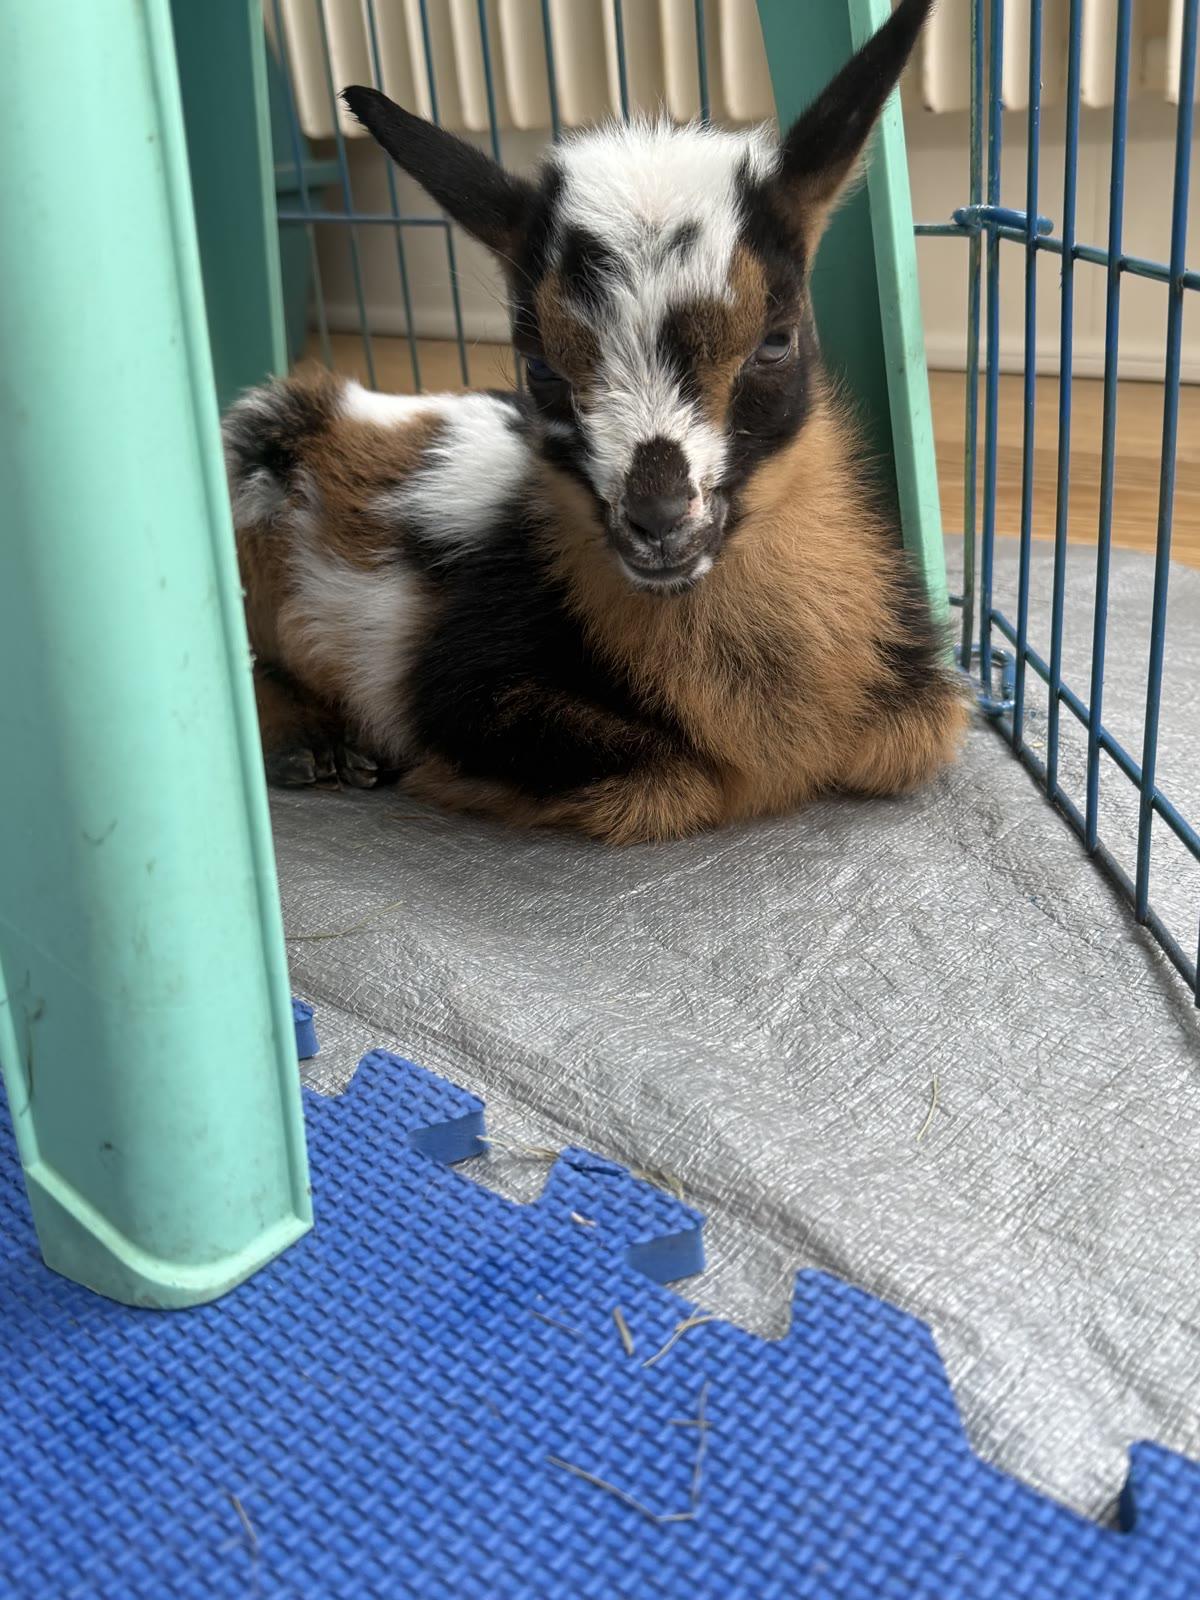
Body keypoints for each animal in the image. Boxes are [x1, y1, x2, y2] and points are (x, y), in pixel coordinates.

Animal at [223, 0, 967, 845]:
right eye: (539, 366)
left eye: (776, 341)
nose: (659, 519)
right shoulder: (467, 697)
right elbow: (671, 779)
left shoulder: (916, 702)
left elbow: (915, 733)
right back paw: (309, 748)